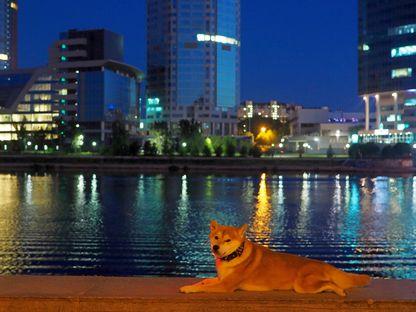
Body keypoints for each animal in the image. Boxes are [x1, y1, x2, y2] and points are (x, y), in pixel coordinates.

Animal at [180, 221, 370, 296]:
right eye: (216, 237)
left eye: (228, 240)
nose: (215, 247)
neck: (234, 256)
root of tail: (322, 263)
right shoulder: (222, 279)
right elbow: (206, 281)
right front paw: (197, 282)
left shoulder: (225, 286)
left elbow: (203, 288)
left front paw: (189, 288)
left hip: (302, 285)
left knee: (331, 283)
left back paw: (339, 291)